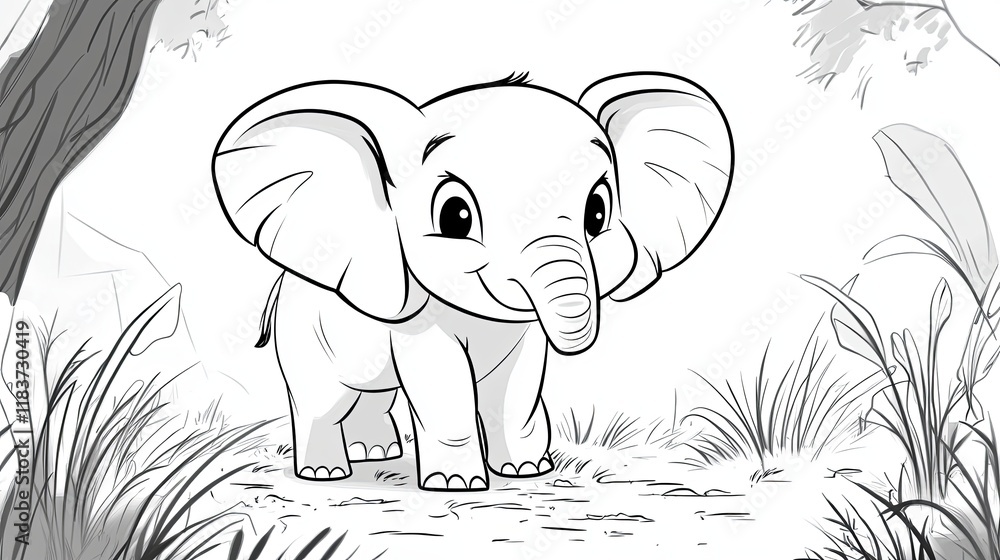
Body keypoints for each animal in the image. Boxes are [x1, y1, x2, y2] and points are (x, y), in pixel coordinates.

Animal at [212, 72, 734, 491]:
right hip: (303, 335)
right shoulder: (418, 317)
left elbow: (519, 382)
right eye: (455, 216)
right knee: (321, 401)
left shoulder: (524, 332)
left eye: (598, 212)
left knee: (373, 394)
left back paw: (375, 454)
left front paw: (526, 472)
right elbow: (442, 382)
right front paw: (455, 485)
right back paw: (326, 473)